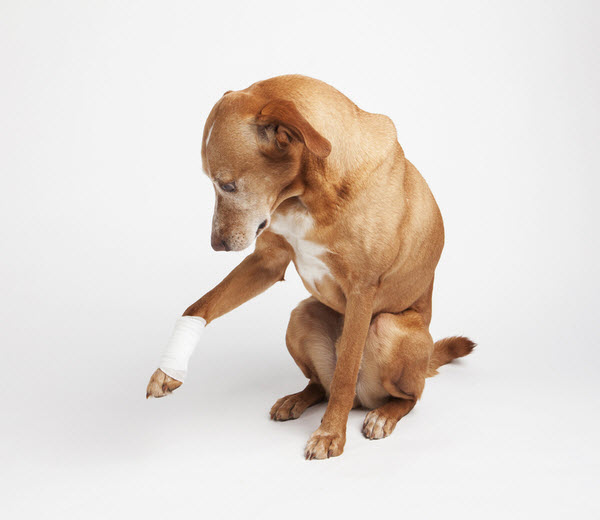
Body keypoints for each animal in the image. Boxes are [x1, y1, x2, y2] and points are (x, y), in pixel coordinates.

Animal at [145, 74, 474, 460]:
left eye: (227, 184)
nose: (217, 244)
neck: (310, 193)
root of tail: (365, 399)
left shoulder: (362, 291)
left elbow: (346, 371)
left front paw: (331, 434)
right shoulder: (268, 262)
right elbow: (200, 305)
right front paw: (167, 370)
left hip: (390, 329)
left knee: (406, 395)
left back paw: (384, 414)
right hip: (301, 316)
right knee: (322, 384)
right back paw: (299, 398)